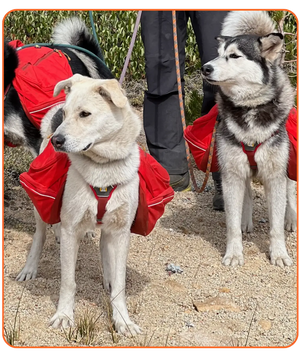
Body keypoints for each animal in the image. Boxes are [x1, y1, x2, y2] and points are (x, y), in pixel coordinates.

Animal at [17, 74, 142, 336]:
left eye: (85, 114)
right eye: (65, 114)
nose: (57, 140)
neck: (102, 167)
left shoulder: (121, 232)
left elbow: (120, 285)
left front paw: (122, 321)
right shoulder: (70, 229)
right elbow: (68, 281)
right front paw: (64, 316)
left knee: (104, 247)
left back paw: (107, 276)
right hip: (40, 209)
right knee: (40, 234)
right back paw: (29, 268)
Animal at [200, 10, 296, 268]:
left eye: (234, 56)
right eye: (218, 53)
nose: (205, 68)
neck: (250, 109)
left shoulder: (275, 174)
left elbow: (275, 225)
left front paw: (279, 253)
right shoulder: (232, 174)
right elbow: (232, 224)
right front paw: (234, 253)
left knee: (291, 196)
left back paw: (291, 220)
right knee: (248, 196)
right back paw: (246, 221)